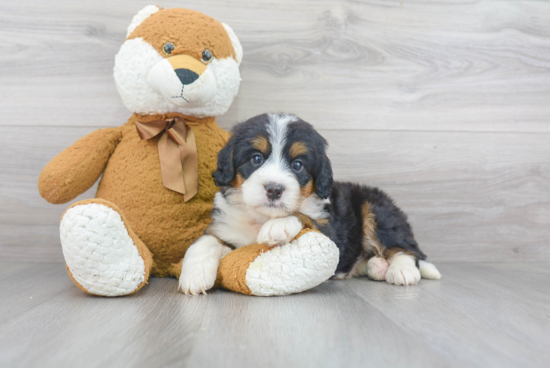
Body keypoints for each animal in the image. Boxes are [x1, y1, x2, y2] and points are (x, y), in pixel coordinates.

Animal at [179, 112, 442, 294]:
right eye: (256, 158)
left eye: (298, 165)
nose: (274, 189)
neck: (261, 217)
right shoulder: (226, 227)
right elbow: (205, 241)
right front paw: (193, 275)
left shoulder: (331, 231)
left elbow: (303, 216)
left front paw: (279, 225)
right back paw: (377, 266)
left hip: (377, 210)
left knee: (405, 248)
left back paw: (401, 270)